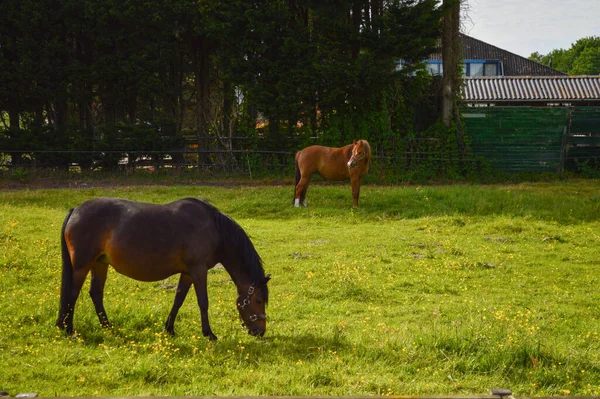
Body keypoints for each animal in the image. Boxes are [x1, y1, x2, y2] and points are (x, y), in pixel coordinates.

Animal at [55, 197, 270, 340]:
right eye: (258, 300)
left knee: (96, 293)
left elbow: (178, 300)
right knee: (73, 293)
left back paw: (107, 326)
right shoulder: (198, 270)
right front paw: (209, 334)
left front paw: (170, 328)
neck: (214, 229)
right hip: (82, 266)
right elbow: (203, 302)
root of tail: (75, 210)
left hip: (100, 264)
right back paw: (69, 329)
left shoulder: (187, 273)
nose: (260, 331)